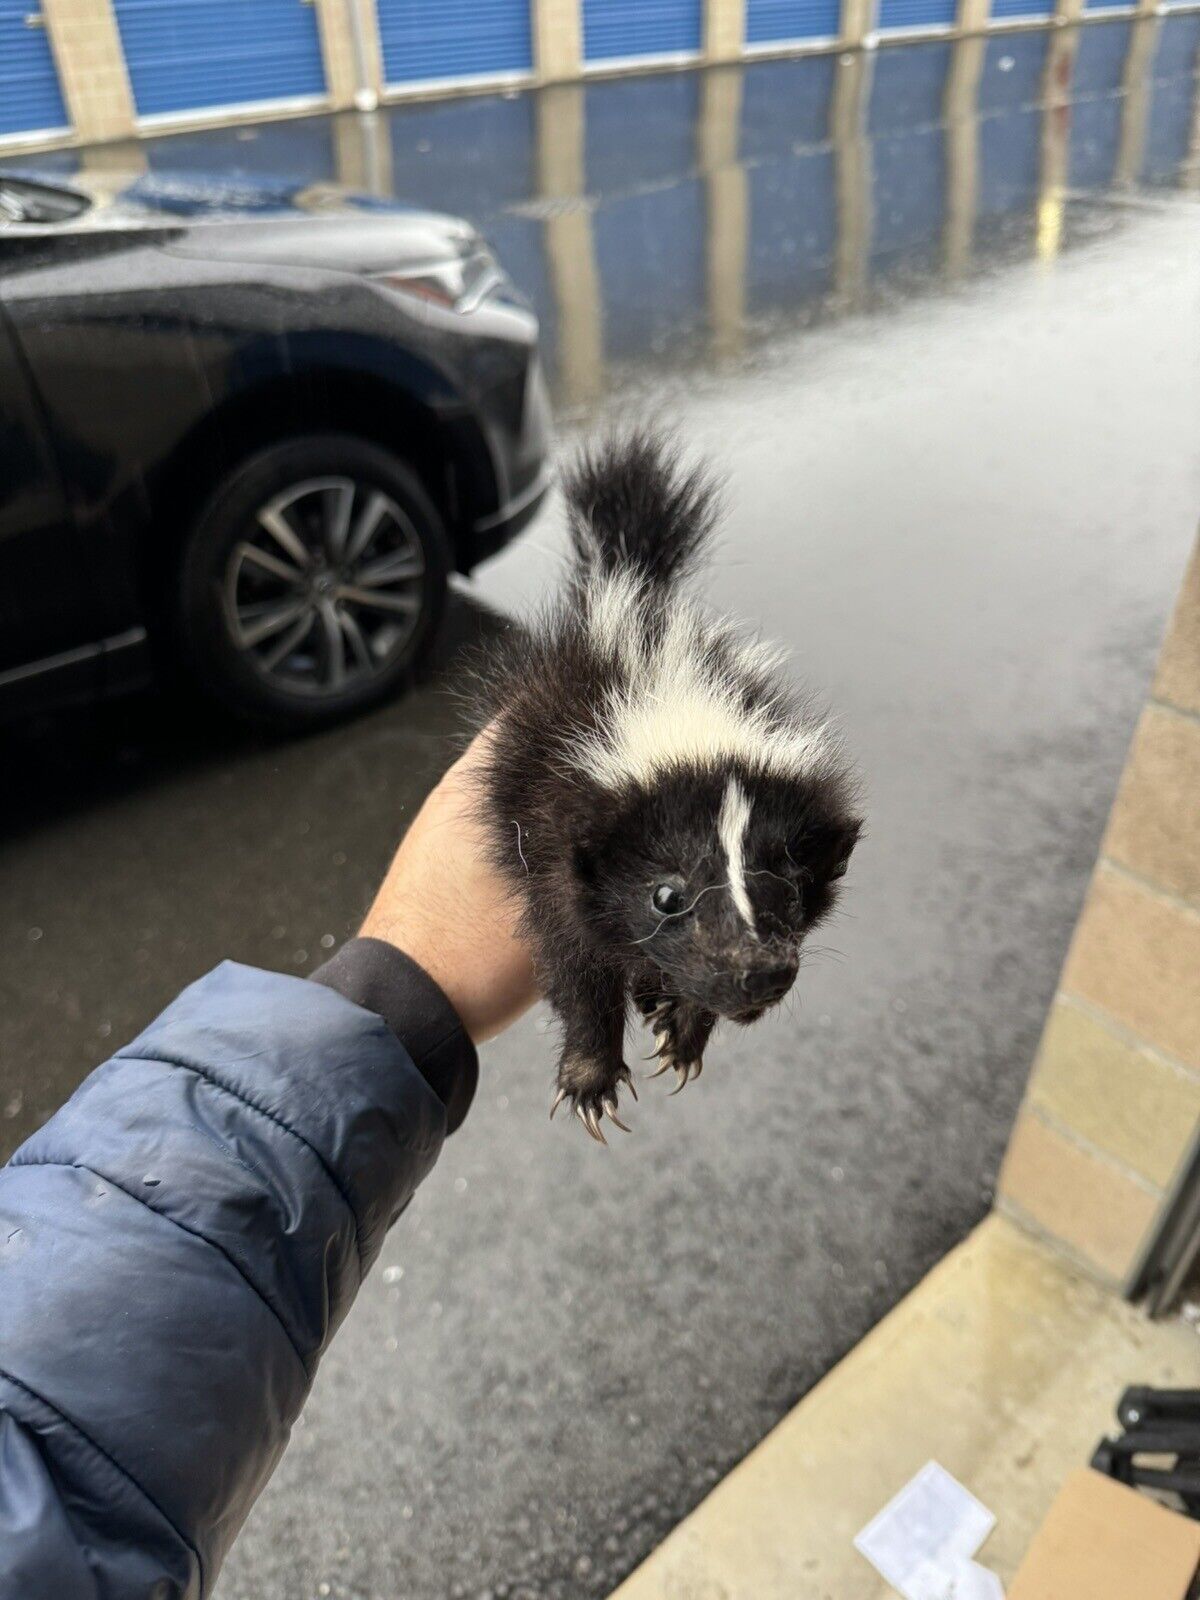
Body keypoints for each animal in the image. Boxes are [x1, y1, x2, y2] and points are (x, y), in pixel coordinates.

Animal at [470, 432, 864, 1145]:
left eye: (793, 885)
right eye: (665, 895)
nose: (757, 969)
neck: (667, 696)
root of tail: (628, 589)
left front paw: (683, 1030)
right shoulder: (549, 837)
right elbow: (572, 963)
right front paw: (590, 1077)